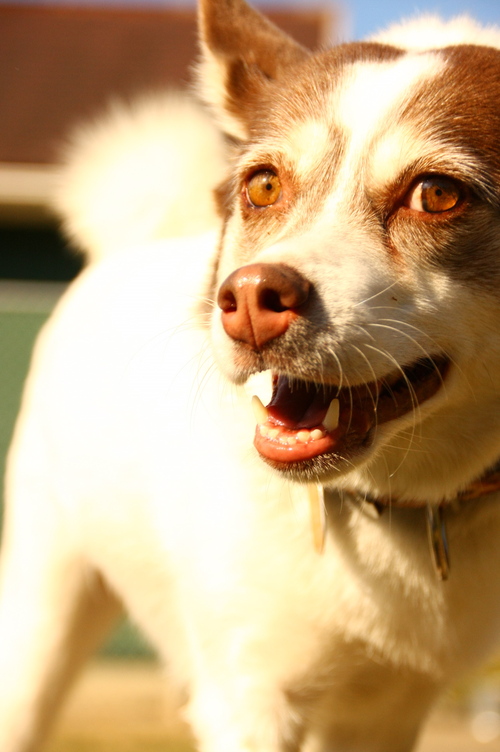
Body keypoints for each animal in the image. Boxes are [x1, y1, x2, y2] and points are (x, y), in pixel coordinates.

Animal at [2, 0, 500, 748]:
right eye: (263, 185)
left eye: (438, 194)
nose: (249, 301)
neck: (386, 501)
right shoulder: (248, 695)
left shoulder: (386, 711)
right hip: (40, 621)